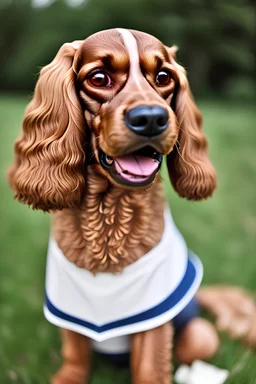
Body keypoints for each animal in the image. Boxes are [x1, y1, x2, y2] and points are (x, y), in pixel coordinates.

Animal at [8, 28, 256, 382]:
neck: (108, 214)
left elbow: (151, 367)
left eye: (164, 77)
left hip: (200, 336)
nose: (151, 119)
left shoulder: (154, 318)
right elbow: (75, 356)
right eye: (99, 77)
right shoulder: (69, 308)